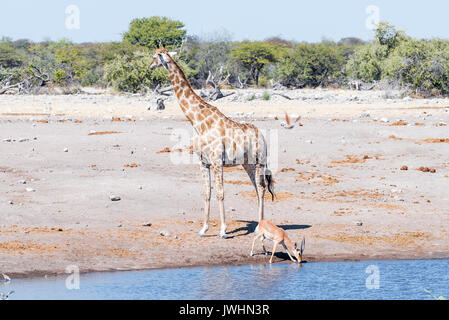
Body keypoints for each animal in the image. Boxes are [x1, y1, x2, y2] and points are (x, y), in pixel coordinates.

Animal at [150, 46, 274, 239]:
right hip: (248, 163)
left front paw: (223, 231)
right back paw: (258, 225)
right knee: (257, 188)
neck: (198, 122)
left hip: (260, 161)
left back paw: (259, 228)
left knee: (261, 189)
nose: (150, 67)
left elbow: (220, 193)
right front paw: (203, 229)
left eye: (155, 56)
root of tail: (261, 135)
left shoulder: (217, 161)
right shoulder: (203, 162)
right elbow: (207, 193)